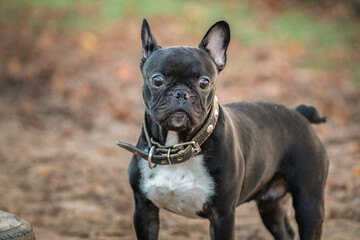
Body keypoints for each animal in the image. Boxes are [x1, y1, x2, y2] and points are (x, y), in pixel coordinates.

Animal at [119, 19, 330, 240]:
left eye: (204, 82)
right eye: (157, 80)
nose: (181, 93)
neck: (178, 145)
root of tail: (300, 114)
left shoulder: (223, 215)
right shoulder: (144, 210)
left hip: (309, 204)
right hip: (270, 206)